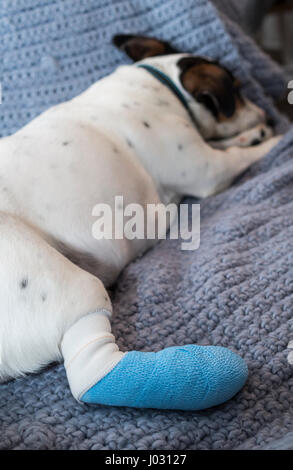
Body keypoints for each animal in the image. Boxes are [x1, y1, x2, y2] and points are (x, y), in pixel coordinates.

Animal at [0, 35, 282, 410]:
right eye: (236, 89)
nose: (267, 114)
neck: (161, 81)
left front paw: (255, 134)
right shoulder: (209, 169)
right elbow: (240, 155)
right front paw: (273, 140)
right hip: (51, 275)